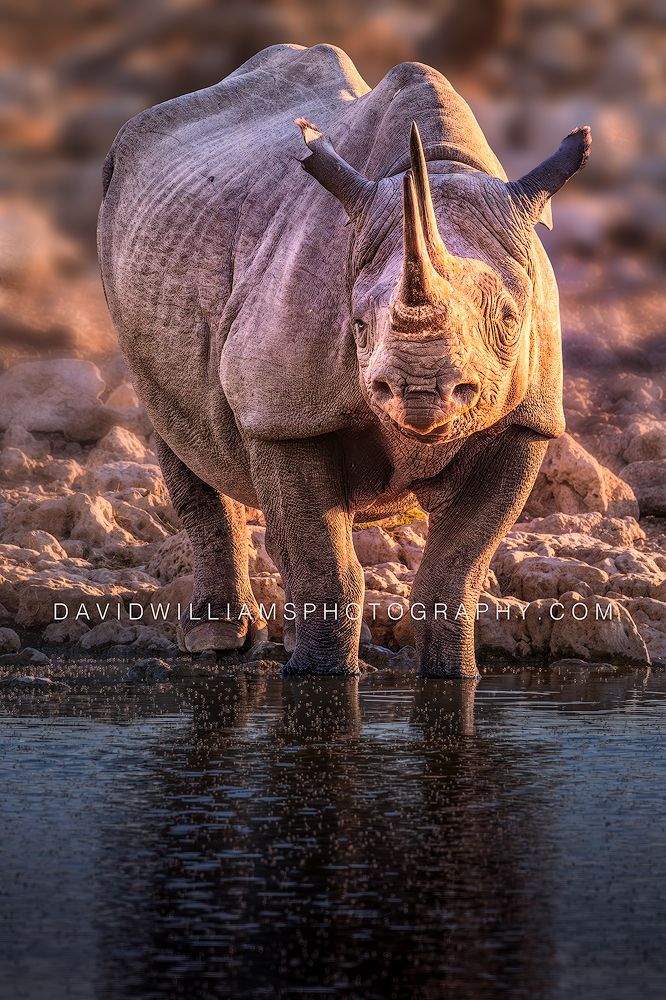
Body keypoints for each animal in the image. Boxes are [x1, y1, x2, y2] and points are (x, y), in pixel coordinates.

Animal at [98, 43, 590, 677]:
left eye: (509, 320)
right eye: (356, 325)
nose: (421, 392)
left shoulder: (528, 421)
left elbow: (455, 571)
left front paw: (454, 677)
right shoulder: (285, 412)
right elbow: (325, 564)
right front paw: (320, 678)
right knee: (175, 427)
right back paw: (218, 642)